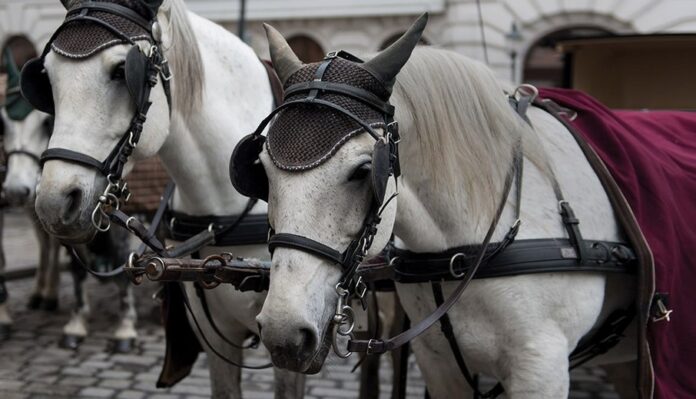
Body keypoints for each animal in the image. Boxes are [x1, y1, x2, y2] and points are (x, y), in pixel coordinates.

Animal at [253, 17, 640, 398]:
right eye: (261, 170)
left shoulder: (542, 369)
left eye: (363, 171)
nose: (283, 332)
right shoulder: (439, 365)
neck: (467, 251)